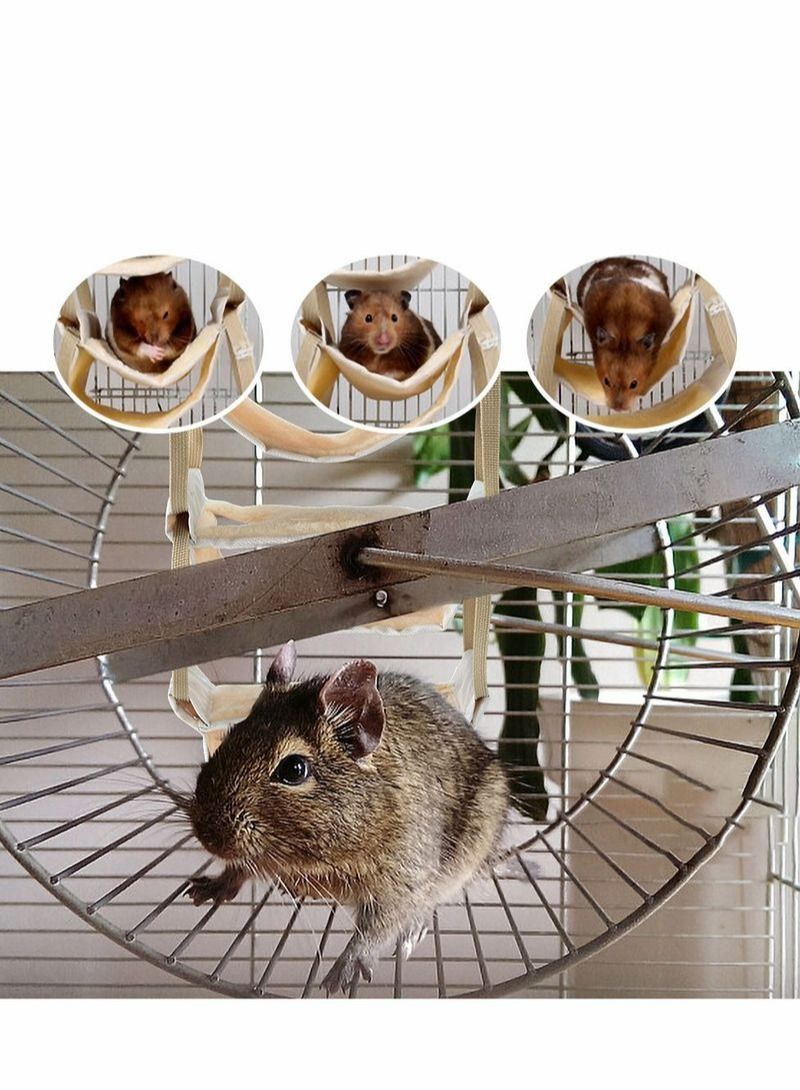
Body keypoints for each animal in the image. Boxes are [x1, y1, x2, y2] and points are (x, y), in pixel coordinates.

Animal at [181, 641, 508, 995]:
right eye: (230, 735)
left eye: (294, 769)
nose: (207, 836)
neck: (320, 859)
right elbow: (239, 868)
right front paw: (210, 886)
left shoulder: (405, 873)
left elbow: (378, 928)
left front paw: (342, 973)